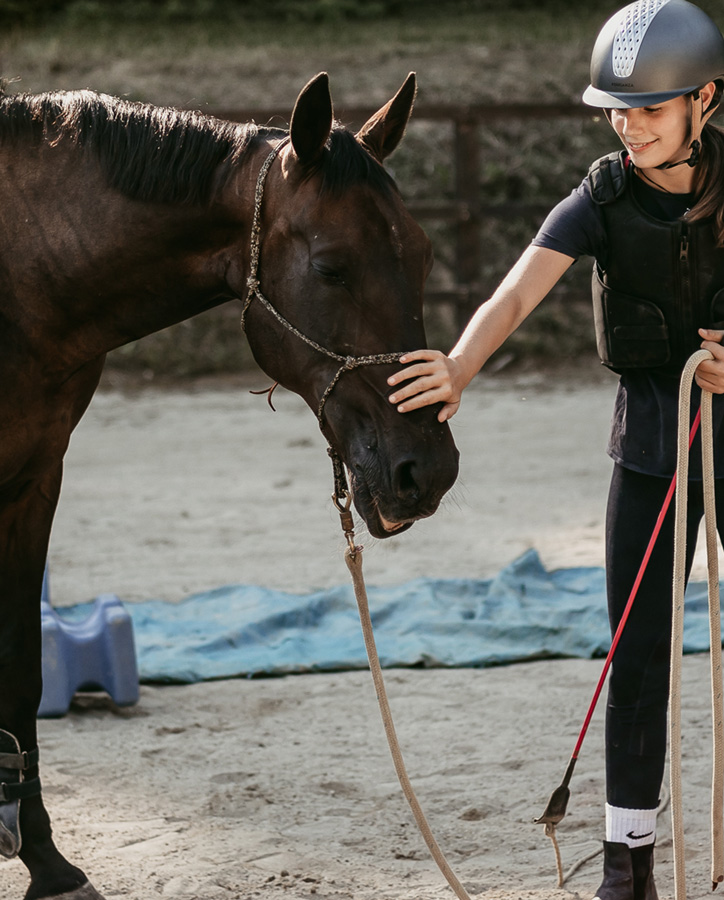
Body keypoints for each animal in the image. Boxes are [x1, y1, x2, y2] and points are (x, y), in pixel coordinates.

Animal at [0, 72, 458, 900]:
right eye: (331, 266)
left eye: (425, 254)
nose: (428, 469)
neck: (20, 270)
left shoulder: (35, 475)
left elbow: (20, 664)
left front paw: (48, 863)